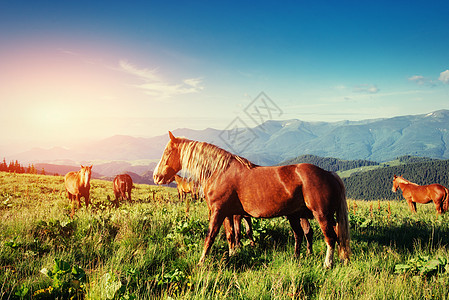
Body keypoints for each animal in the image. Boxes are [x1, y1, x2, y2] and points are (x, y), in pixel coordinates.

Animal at [154, 131, 350, 268]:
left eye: (167, 152)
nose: (156, 176)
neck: (219, 172)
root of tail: (329, 174)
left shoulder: (218, 212)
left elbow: (210, 236)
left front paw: (202, 261)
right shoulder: (228, 214)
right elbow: (231, 235)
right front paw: (233, 255)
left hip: (321, 215)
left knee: (330, 237)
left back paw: (327, 264)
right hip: (295, 215)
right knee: (302, 235)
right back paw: (300, 258)